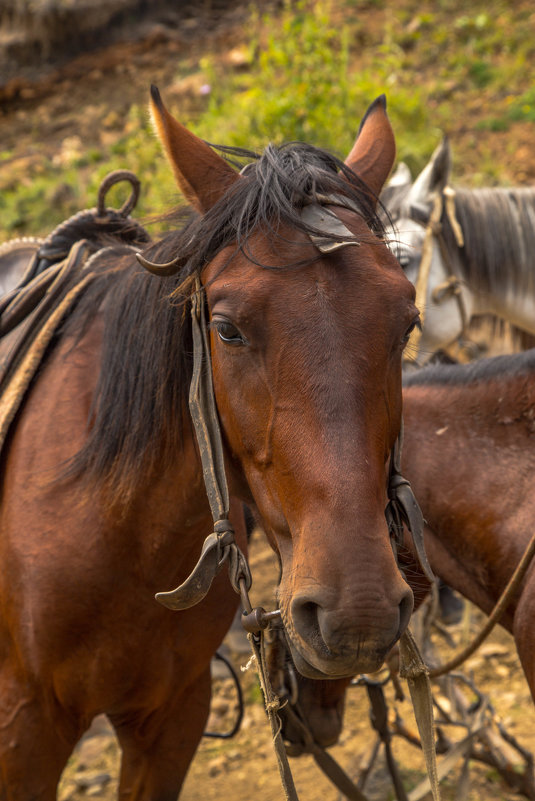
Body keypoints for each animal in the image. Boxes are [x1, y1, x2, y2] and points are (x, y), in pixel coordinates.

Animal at [0, 89, 418, 800]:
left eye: (407, 323)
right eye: (226, 329)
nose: (358, 612)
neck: (118, 531)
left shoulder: (172, 718)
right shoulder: (22, 730)